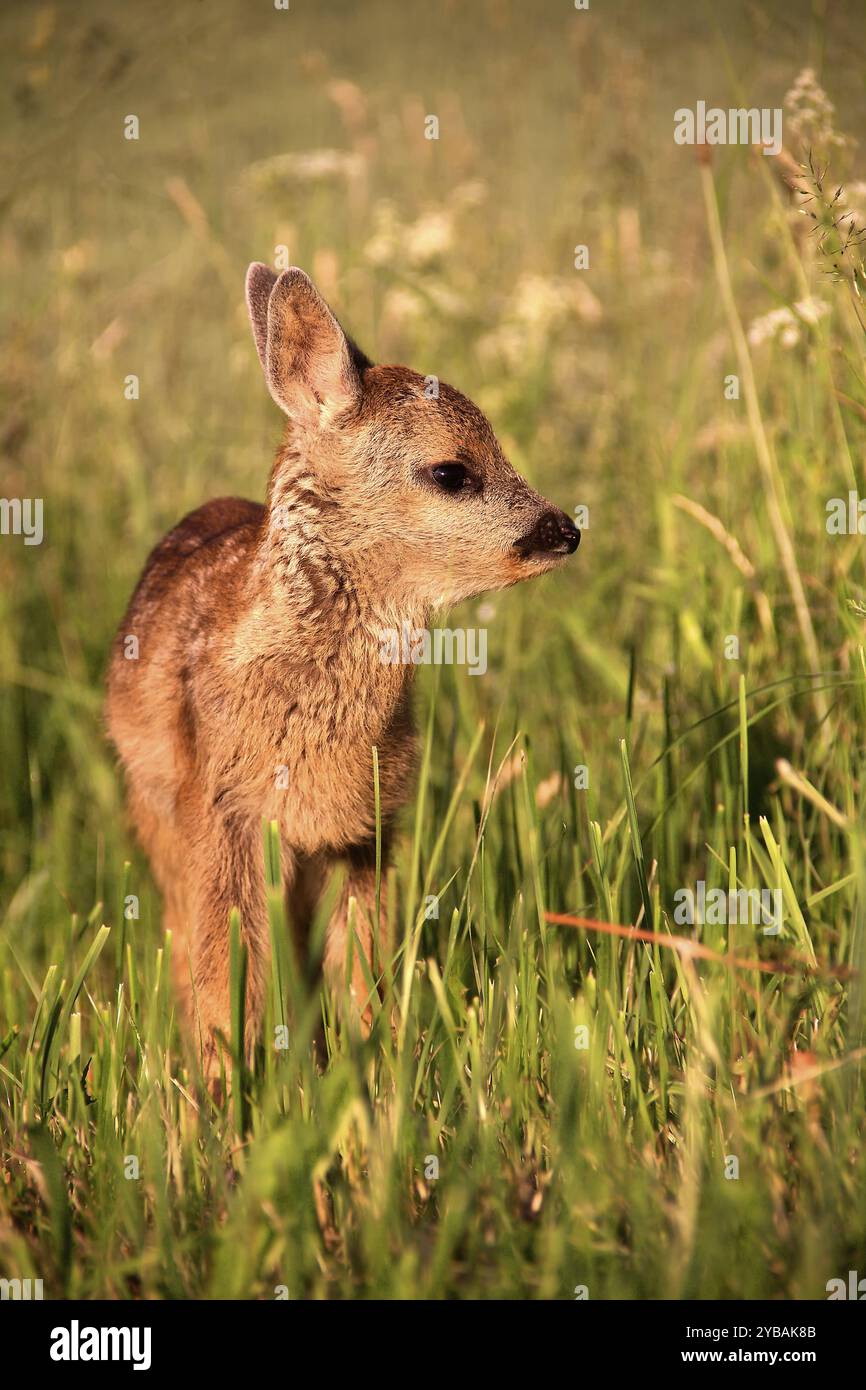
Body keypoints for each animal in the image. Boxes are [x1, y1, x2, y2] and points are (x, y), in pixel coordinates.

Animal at [107, 262, 583, 1073]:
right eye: (451, 471)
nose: (565, 530)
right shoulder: (222, 812)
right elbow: (224, 977)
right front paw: (227, 1087)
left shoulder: (371, 827)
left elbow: (359, 965)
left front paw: (371, 1064)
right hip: (158, 818)